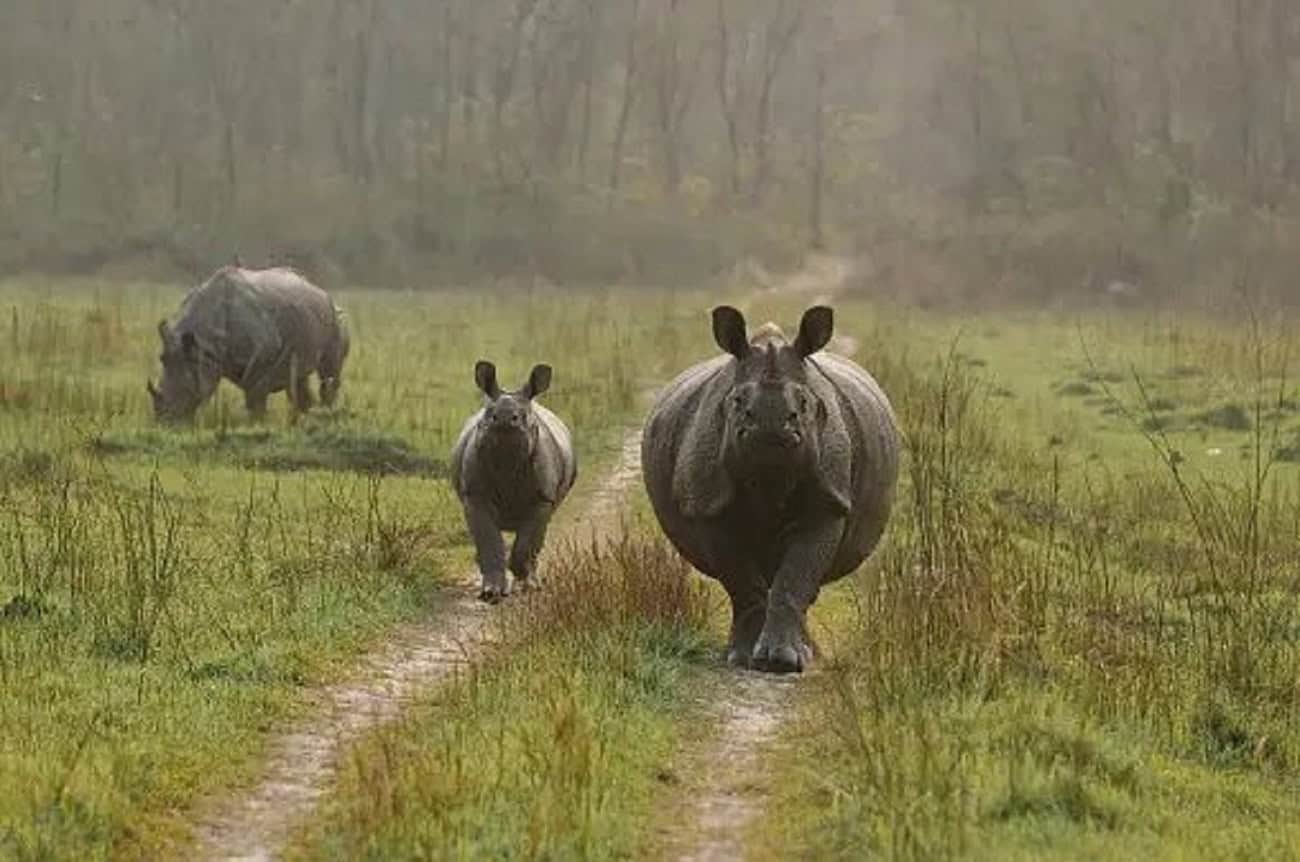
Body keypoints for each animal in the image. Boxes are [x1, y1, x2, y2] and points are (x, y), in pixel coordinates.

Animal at [148, 266, 349, 423]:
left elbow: (255, 393)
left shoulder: (265, 352)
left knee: (328, 374)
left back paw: (325, 414)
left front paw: (257, 423)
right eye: (161, 359)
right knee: (298, 378)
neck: (203, 343)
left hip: (336, 318)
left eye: (188, 390)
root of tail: (321, 290)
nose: (164, 421)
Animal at [450, 361, 578, 602]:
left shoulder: (542, 498)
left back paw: (530, 581)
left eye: (523, 416)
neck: (507, 459)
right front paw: (491, 593)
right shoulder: (474, 496)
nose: (505, 419)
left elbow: (526, 544)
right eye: (490, 416)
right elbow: (489, 540)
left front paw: (526, 582)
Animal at [641, 305, 900, 673]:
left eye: (804, 403)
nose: (770, 426)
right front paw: (742, 658)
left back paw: (809, 653)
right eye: (737, 401)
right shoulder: (709, 504)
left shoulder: (829, 500)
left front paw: (783, 662)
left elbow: (796, 575)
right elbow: (742, 581)